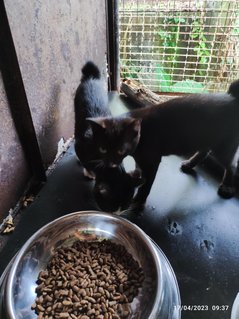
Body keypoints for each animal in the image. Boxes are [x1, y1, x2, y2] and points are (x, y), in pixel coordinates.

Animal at [74, 62, 142, 212]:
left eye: (125, 206)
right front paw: (89, 173)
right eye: (110, 207)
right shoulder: (80, 146)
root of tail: (90, 77)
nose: (118, 214)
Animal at [86, 79, 239, 210]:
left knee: (231, 165)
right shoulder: (141, 159)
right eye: (102, 148)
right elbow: (139, 168)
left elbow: (146, 183)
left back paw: (226, 187)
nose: (109, 162)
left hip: (224, 147)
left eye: (120, 150)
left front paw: (139, 200)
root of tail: (232, 97)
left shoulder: (152, 162)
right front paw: (136, 174)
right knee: (204, 151)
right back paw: (189, 164)